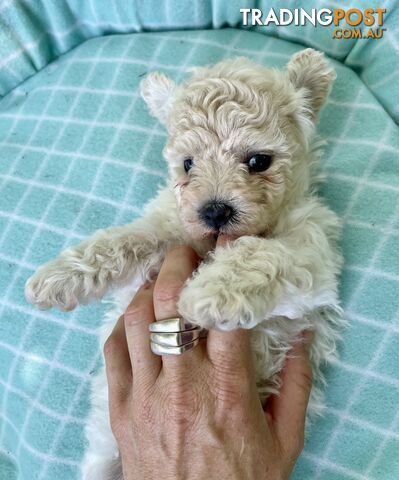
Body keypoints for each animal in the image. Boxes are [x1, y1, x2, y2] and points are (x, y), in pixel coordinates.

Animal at [25, 49, 344, 480]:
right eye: (188, 164)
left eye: (259, 160)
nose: (213, 210)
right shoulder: (169, 229)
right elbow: (126, 240)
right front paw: (57, 277)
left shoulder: (311, 250)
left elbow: (264, 254)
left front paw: (209, 294)